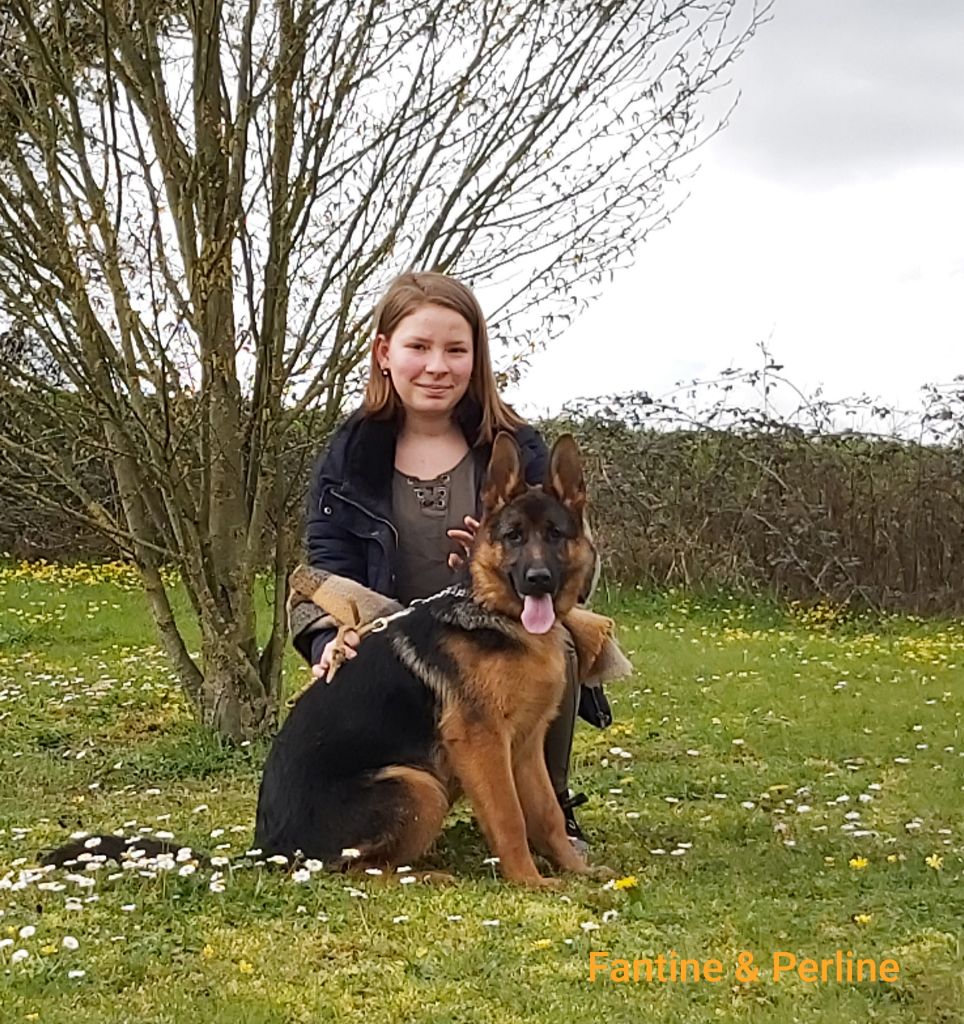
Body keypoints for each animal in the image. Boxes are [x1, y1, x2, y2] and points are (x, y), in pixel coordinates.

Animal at [256, 428, 602, 884]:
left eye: (555, 535)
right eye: (513, 536)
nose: (538, 579)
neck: (494, 616)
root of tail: (265, 852)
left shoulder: (526, 747)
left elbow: (546, 815)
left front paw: (577, 872)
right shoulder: (482, 742)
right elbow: (509, 817)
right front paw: (530, 883)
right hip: (418, 785)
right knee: (357, 871)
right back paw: (427, 876)